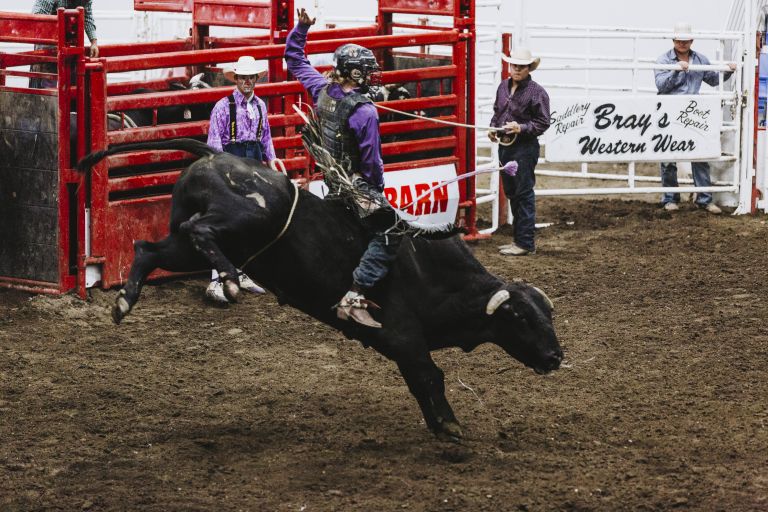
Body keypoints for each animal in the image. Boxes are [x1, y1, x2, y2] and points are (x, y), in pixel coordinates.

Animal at [75, 138, 560, 438]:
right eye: (521, 318)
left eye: (548, 317)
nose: (557, 357)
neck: (444, 279)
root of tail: (215, 153)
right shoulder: (403, 336)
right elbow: (429, 377)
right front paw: (449, 426)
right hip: (248, 217)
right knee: (201, 231)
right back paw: (229, 279)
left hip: (186, 245)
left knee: (148, 249)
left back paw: (124, 301)